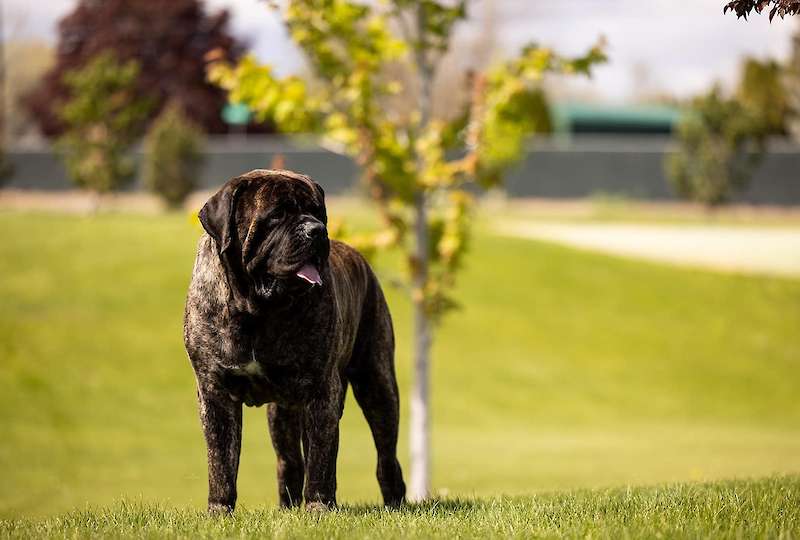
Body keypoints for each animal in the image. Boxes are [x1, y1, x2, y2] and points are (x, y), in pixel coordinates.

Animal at [186, 171, 406, 512]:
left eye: (318, 212)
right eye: (276, 215)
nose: (317, 230)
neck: (255, 310)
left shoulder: (321, 391)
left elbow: (320, 456)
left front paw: (318, 507)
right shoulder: (214, 390)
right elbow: (221, 460)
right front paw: (219, 510)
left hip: (377, 382)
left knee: (386, 454)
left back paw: (394, 502)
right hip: (282, 413)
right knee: (288, 461)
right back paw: (288, 506)